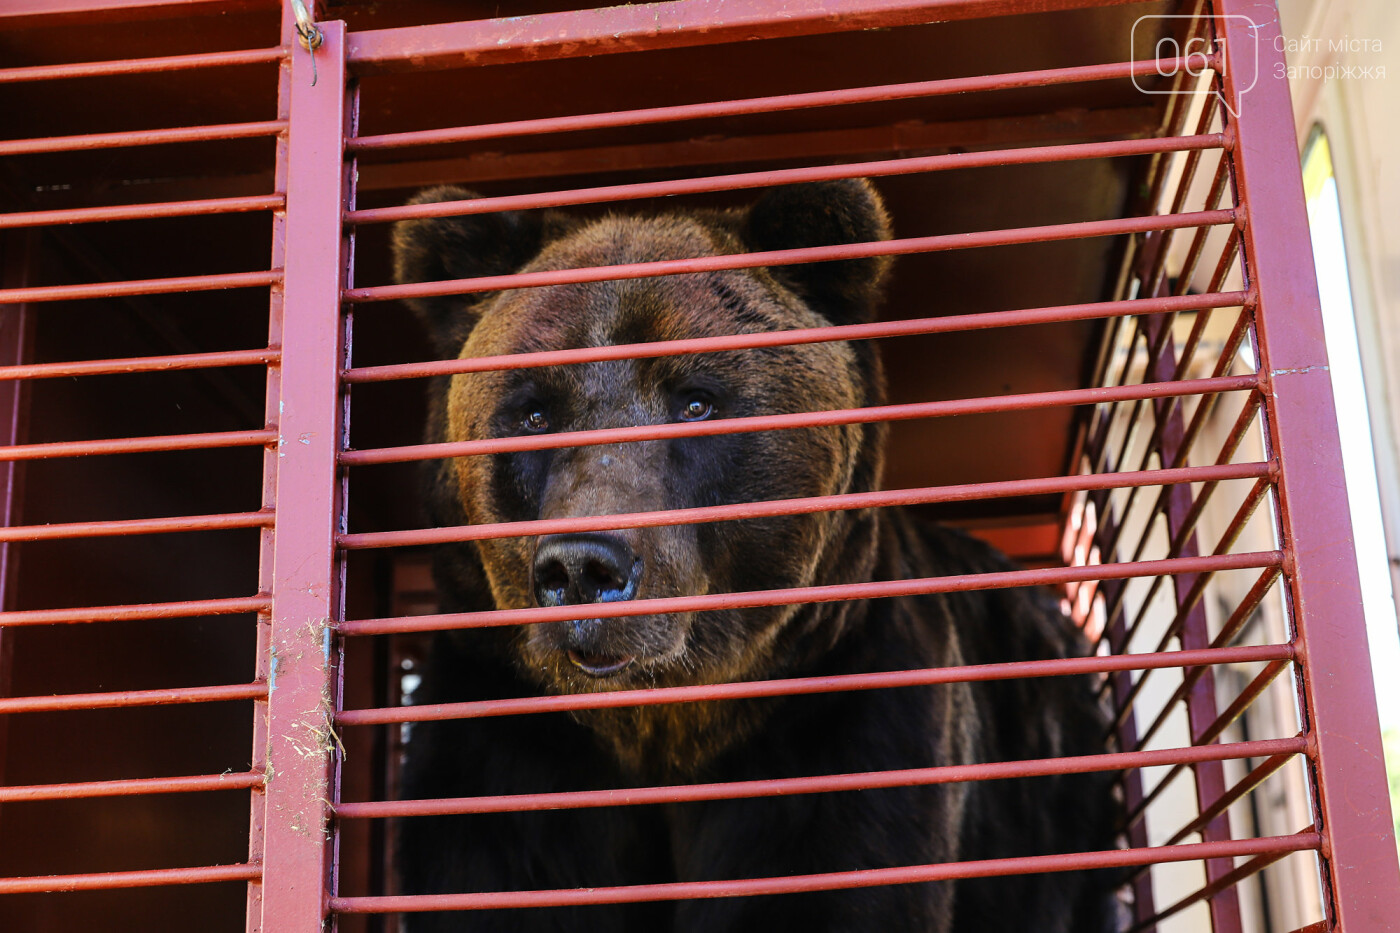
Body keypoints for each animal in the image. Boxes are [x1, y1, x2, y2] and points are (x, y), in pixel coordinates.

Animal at [389, 177, 1120, 924]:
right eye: (534, 412)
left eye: (696, 401)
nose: (583, 567)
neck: (662, 725)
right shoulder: (506, 743)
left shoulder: (839, 719)